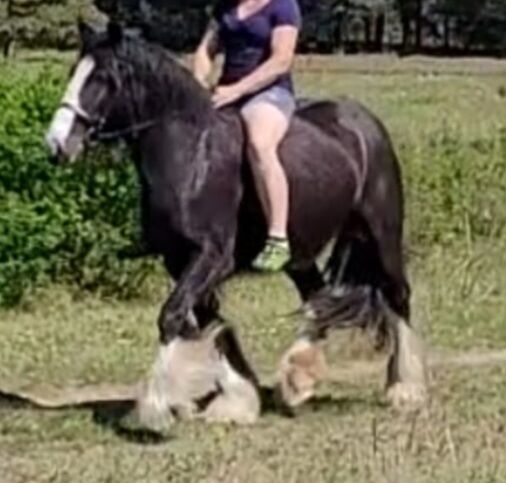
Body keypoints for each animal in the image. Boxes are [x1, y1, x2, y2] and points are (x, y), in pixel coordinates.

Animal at [45, 22, 427, 428]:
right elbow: (210, 324)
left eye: (103, 78)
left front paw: (156, 408)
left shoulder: (212, 256)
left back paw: (404, 389)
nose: (56, 144)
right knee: (317, 298)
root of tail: (363, 120)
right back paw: (297, 380)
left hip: (382, 233)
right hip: (300, 254)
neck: (193, 157)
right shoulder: (179, 260)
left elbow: (172, 316)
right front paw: (236, 402)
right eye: (73, 72)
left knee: (398, 295)